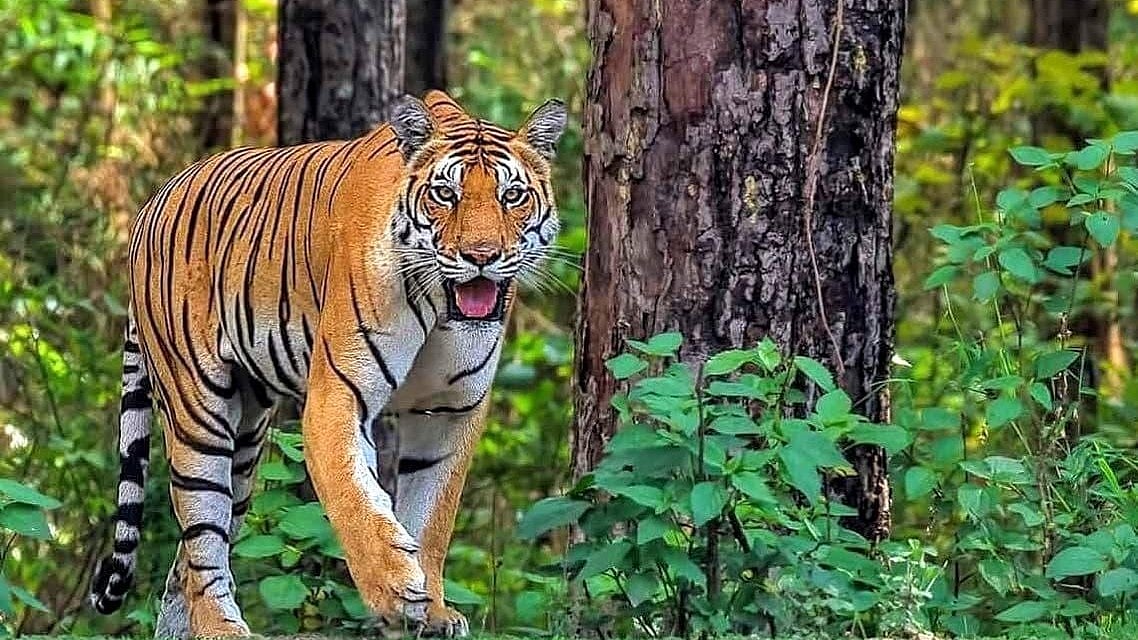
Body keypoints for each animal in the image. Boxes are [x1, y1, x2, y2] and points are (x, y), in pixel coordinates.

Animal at [88, 91, 566, 638]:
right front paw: (396, 590)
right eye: (445, 194)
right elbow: (352, 494)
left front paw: (433, 611)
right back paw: (225, 628)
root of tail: (149, 205)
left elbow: (433, 515)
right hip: (198, 416)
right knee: (202, 540)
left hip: (245, 441)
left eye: (513, 196)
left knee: (185, 568)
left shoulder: (451, 411)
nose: (481, 256)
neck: (442, 310)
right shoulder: (337, 395)